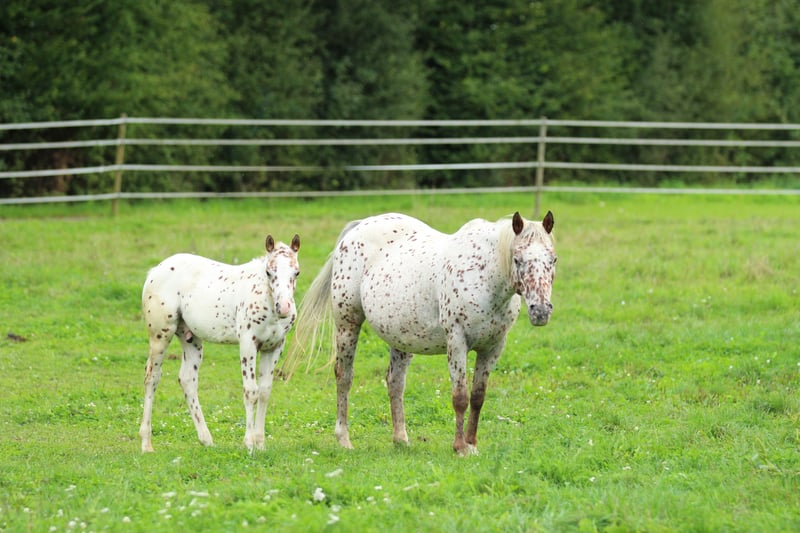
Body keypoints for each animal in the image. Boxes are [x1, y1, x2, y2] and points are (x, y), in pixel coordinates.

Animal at [139, 234, 301, 453]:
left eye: (296, 272)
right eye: (269, 272)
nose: (283, 307)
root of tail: (154, 271)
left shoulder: (275, 346)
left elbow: (265, 392)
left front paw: (260, 443)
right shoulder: (248, 342)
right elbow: (251, 391)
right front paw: (249, 443)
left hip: (191, 338)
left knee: (187, 379)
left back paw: (206, 439)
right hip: (160, 334)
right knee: (152, 377)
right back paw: (146, 443)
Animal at [286, 211, 555, 455]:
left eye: (552, 259)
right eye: (517, 259)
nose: (541, 311)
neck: (484, 276)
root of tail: (359, 226)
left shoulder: (493, 347)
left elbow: (478, 397)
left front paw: (472, 445)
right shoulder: (457, 342)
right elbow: (460, 397)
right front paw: (460, 448)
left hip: (400, 337)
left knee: (395, 382)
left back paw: (401, 440)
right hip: (347, 324)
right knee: (344, 377)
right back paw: (344, 439)